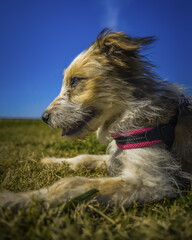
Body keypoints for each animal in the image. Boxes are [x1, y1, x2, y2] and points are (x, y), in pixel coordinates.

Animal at [0, 28, 192, 208]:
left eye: (75, 80)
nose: (44, 117)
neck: (127, 113)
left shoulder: (151, 182)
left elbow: (69, 185)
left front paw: (16, 199)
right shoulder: (116, 156)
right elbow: (84, 157)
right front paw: (53, 161)